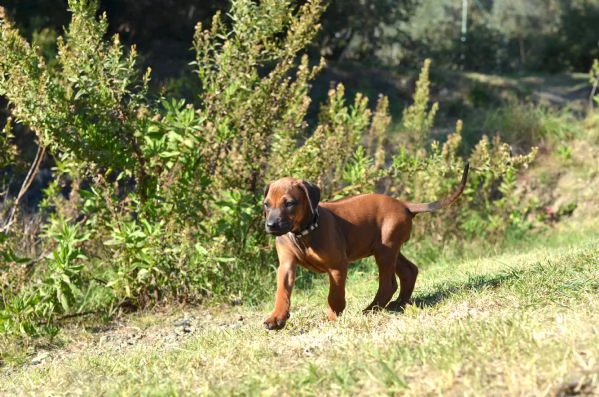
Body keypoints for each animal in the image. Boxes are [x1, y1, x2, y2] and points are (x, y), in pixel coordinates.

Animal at [262, 162, 468, 330]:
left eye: (290, 203)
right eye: (266, 205)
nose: (271, 225)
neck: (304, 233)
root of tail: (404, 204)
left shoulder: (337, 266)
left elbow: (334, 295)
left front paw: (332, 316)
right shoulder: (286, 265)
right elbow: (282, 291)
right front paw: (277, 318)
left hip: (385, 250)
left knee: (388, 283)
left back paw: (372, 309)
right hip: (387, 248)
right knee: (409, 270)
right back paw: (399, 303)